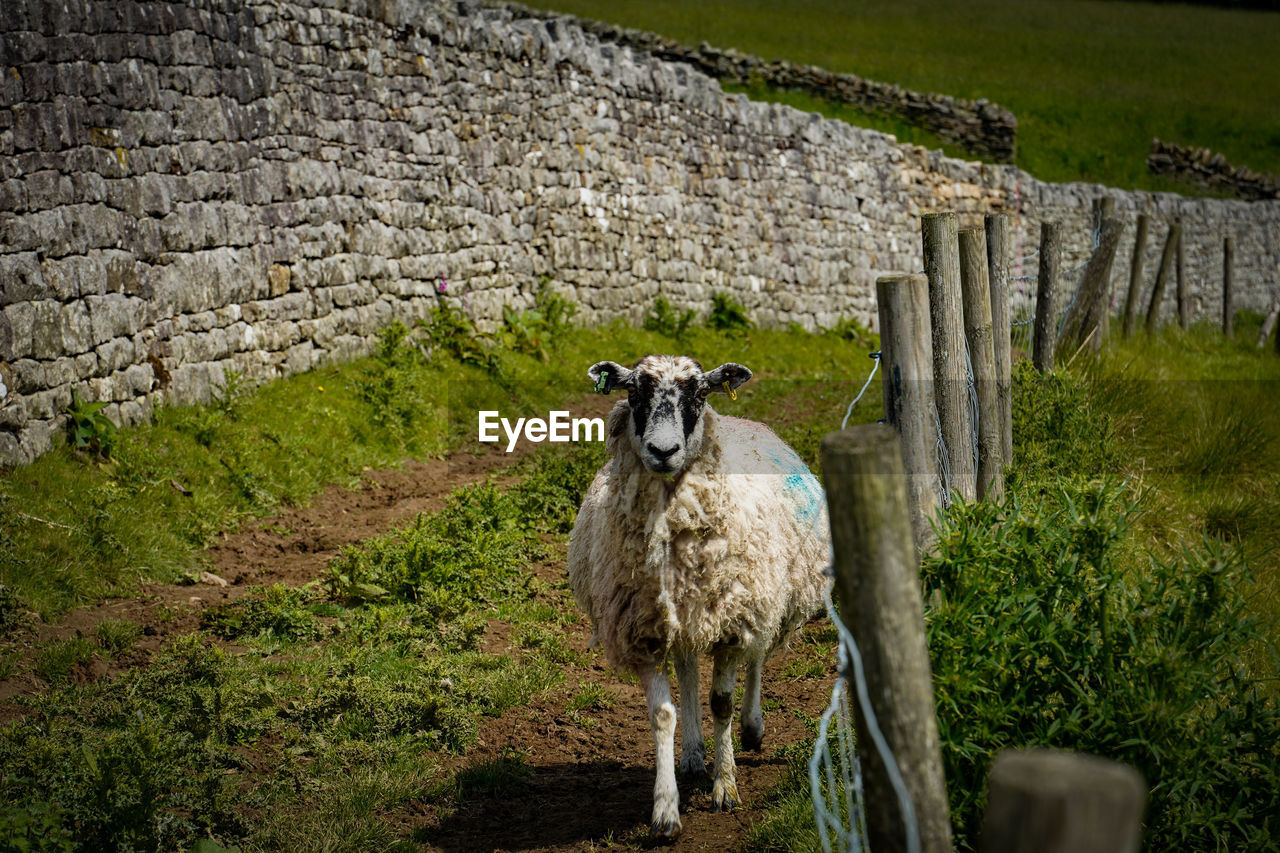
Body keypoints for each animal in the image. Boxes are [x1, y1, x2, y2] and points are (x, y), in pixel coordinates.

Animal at [568, 350, 829, 835]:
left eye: (699, 395)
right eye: (634, 393)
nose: (663, 452)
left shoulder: (734, 622)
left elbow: (721, 701)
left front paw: (725, 788)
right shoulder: (645, 631)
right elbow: (662, 714)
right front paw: (666, 810)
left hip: (763, 599)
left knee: (757, 657)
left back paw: (751, 728)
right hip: (685, 616)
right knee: (688, 667)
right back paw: (691, 755)